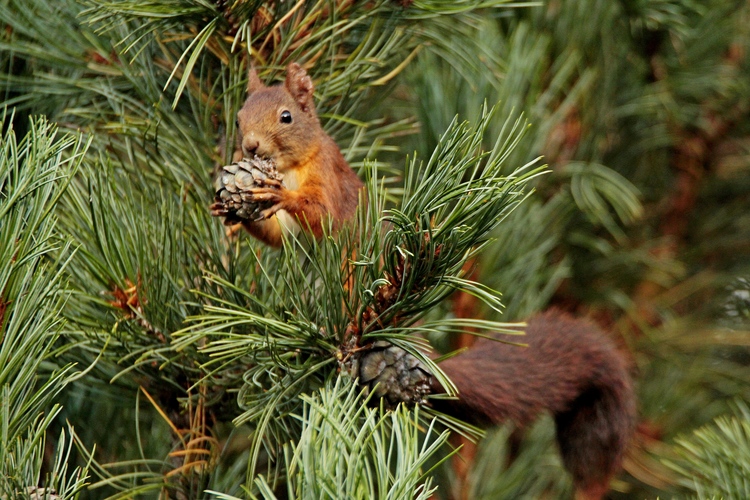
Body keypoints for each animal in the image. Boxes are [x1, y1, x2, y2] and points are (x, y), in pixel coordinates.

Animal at [234, 63, 366, 247]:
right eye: (237, 121)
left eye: (286, 117)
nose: (250, 145)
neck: (288, 169)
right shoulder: (287, 229)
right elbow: (278, 234)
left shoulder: (326, 167)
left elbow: (325, 215)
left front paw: (283, 195)